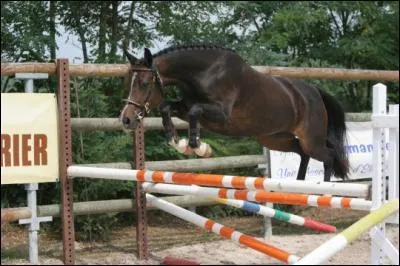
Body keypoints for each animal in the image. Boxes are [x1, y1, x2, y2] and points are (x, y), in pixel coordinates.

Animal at [119, 44, 350, 182]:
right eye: (128, 81)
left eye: (144, 83)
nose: (127, 119)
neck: (205, 73)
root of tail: (315, 92)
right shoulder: (185, 107)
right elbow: (167, 107)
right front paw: (177, 142)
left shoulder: (221, 116)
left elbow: (194, 112)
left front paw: (198, 147)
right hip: (275, 138)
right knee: (303, 153)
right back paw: (297, 186)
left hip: (311, 140)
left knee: (328, 156)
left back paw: (325, 191)